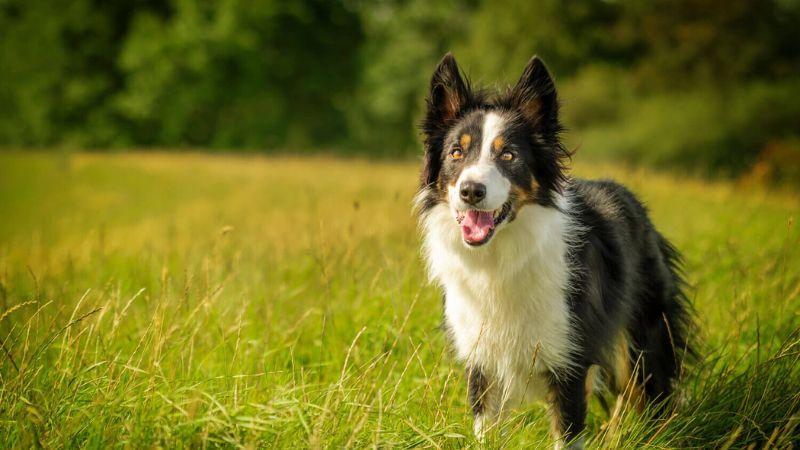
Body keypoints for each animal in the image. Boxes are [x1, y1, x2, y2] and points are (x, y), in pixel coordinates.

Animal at [416, 54, 692, 448]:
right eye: (456, 152)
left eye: (509, 155)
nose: (471, 191)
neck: (499, 260)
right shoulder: (482, 364)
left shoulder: (569, 362)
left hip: (644, 334)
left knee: (648, 393)